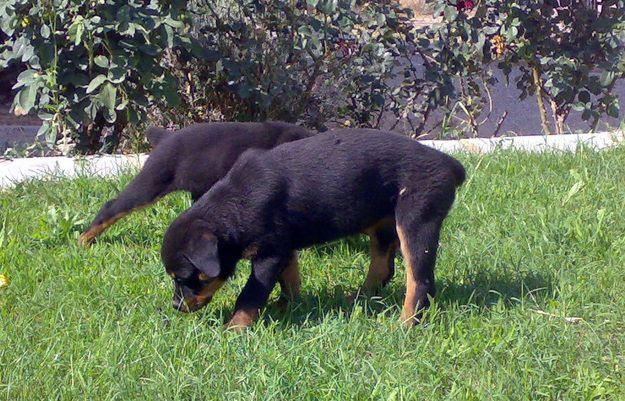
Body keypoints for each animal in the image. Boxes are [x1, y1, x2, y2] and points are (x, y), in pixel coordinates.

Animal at [161, 127, 464, 328]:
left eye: (185, 277)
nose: (176, 306)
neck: (238, 202)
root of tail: (450, 163)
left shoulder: (269, 253)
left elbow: (251, 293)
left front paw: (235, 328)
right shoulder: (283, 247)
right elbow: (289, 279)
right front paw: (287, 306)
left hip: (415, 219)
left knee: (419, 279)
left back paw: (405, 323)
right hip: (380, 222)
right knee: (383, 268)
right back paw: (358, 298)